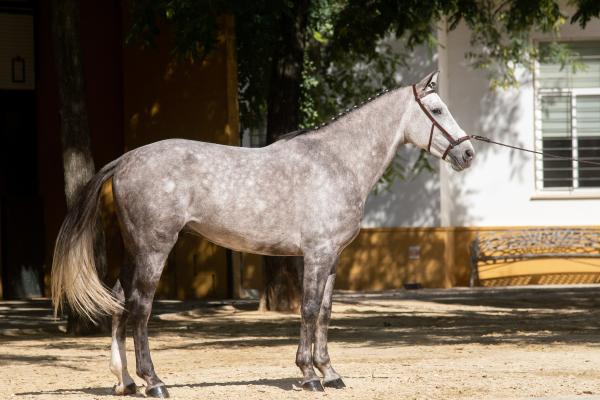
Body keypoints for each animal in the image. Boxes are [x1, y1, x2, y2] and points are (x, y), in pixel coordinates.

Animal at [51, 71, 474, 396]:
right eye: (437, 110)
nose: (467, 153)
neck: (336, 161)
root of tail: (127, 159)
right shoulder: (317, 254)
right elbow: (308, 310)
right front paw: (309, 375)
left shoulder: (332, 257)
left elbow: (324, 312)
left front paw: (330, 372)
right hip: (154, 249)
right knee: (139, 307)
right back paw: (153, 382)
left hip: (134, 249)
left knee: (119, 301)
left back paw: (124, 382)